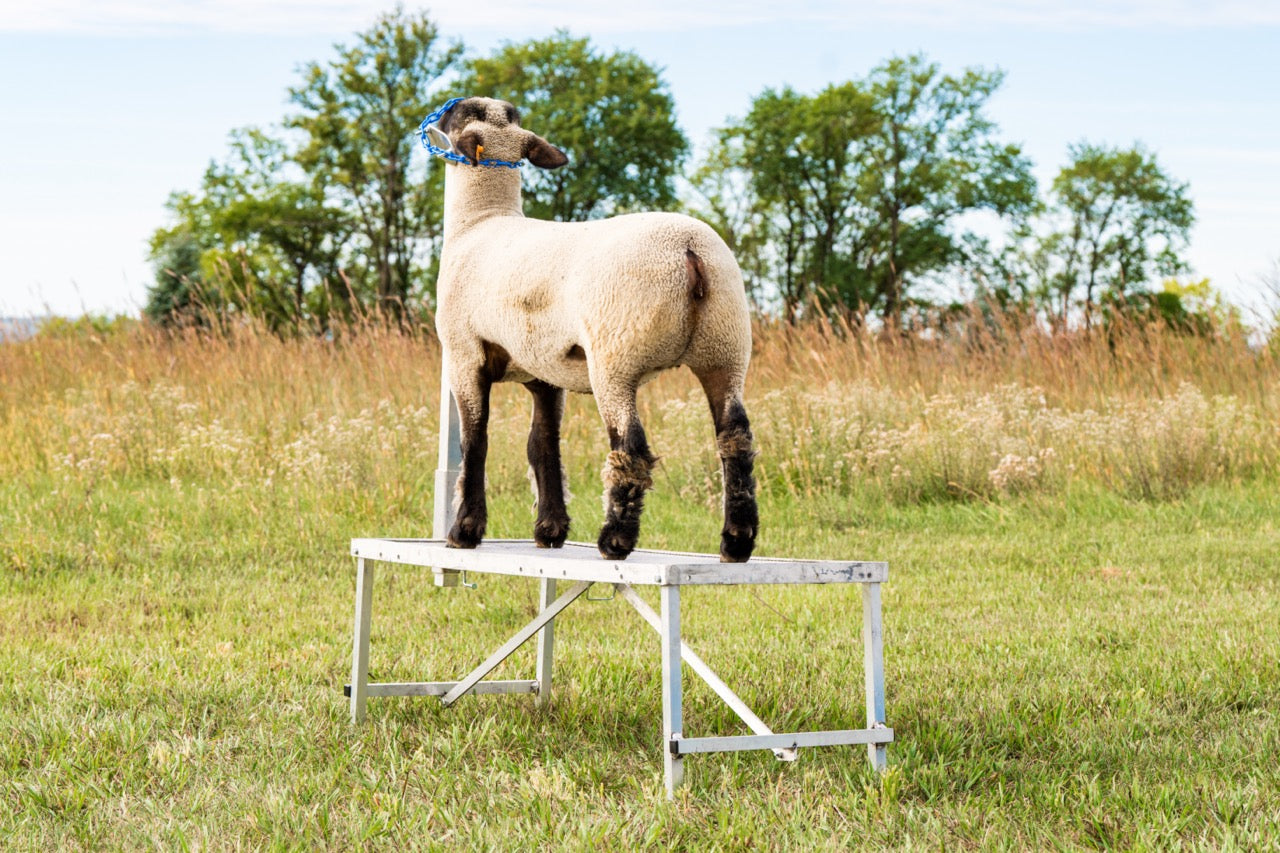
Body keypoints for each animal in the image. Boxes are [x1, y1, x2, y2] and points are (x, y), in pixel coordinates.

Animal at [429, 96, 757, 562]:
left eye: (462, 112)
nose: (446, 105)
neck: (481, 222)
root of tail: (689, 250)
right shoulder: (545, 371)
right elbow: (543, 445)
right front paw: (550, 529)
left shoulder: (464, 354)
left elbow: (475, 442)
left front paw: (465, 531)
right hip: (725, 348)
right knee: (735, 438)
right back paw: (736, 541)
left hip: (615, 355)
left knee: (629, 446)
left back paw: (615, 540)